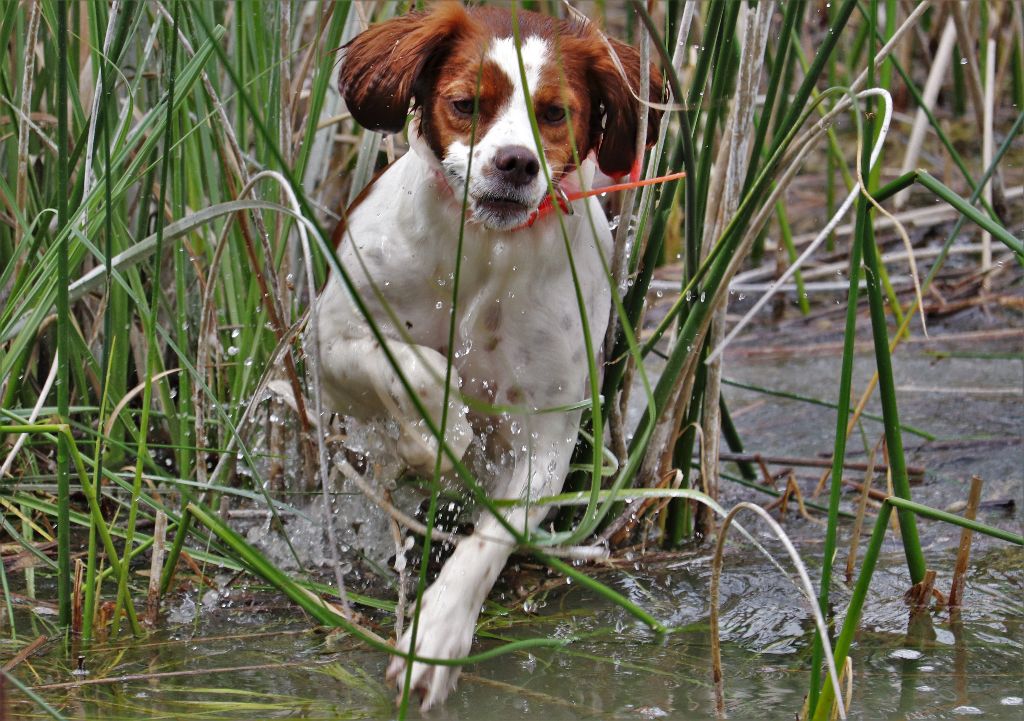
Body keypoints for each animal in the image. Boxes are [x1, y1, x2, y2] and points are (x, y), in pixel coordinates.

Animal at [316, 3, 661, 709]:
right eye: (466, 103)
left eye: (554, 113)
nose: (515, 163)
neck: (483, 250)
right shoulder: (328, 344)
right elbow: (409, 363)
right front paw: (440, 434)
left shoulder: (547, 437)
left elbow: (492, 538)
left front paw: (435, 637)